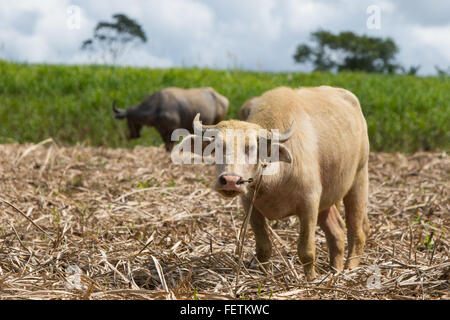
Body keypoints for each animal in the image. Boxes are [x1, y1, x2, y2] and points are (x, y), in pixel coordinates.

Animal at [185, 86, 370, 282]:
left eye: (252, 148)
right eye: (217, 147)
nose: (230, 181)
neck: (275, 180)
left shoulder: (309, 204)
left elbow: (306, 251)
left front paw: (310, 280)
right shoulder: (250, 206)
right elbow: (263, 248)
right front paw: (264, 275)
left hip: (359, 178)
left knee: (357, 230)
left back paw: (350, 269)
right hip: (327, 199)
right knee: (337, 231)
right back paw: (335, 270)